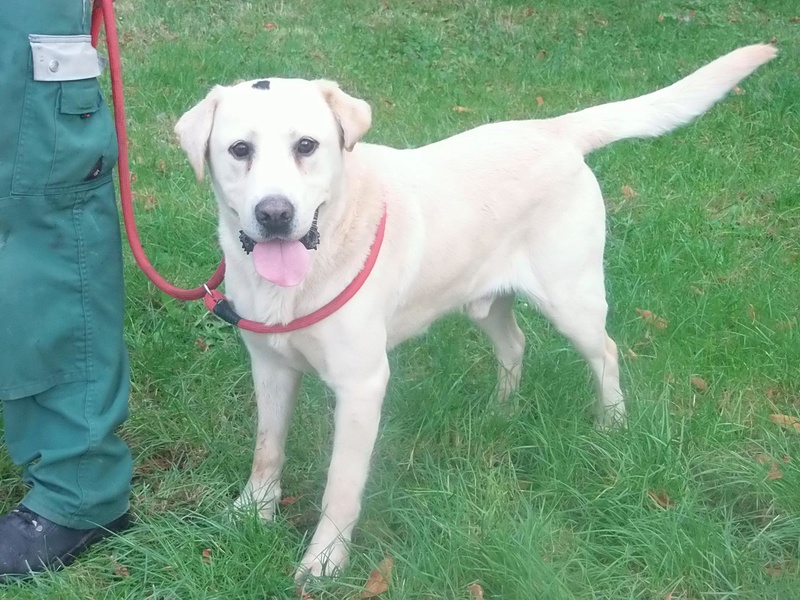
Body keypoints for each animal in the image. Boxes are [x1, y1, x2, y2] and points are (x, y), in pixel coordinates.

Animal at [175, 44, 776, 580]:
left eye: (307, 145)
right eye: (238, 150)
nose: (275, 214)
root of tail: (555, 129)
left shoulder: (362, 384)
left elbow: (341, 487)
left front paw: (324, 562)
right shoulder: (270, 365)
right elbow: (267, 450)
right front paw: (250, 513)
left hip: (572, 299)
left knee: (605, 352)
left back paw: (612, 425)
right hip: (484, 302)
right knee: (515, 344)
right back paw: (500, 411)